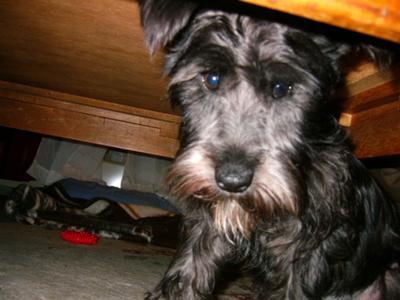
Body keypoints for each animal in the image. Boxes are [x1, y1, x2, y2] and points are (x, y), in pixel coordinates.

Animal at [138, 1, 400, 298]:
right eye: (211, 79)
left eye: (282, 87)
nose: (232, 181)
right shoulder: (207, 226)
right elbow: (185, 276)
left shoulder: (303, 251)